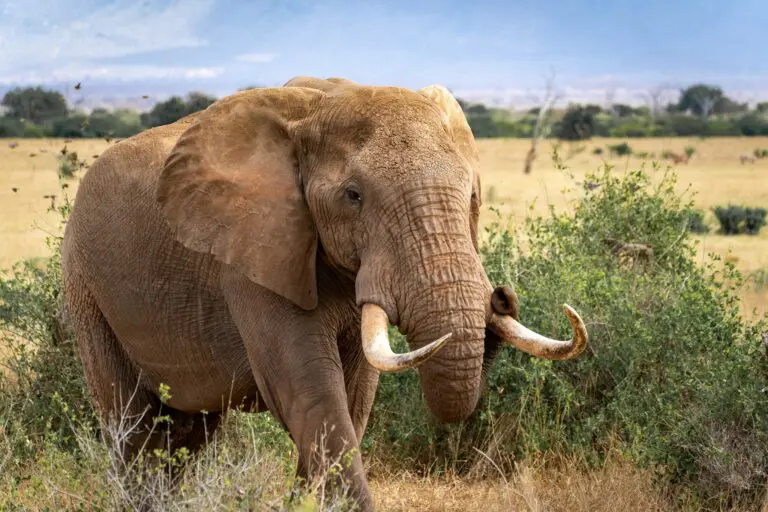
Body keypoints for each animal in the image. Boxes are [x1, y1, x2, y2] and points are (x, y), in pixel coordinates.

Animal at [60, 75, 587, 510]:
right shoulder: (253, 256)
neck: (320, 105)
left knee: (188, 432)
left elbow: (354, 397)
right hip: (84, 286)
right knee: (134, 427)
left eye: (473, 197)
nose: (500, 296)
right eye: (353, 197)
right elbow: (310, 392)